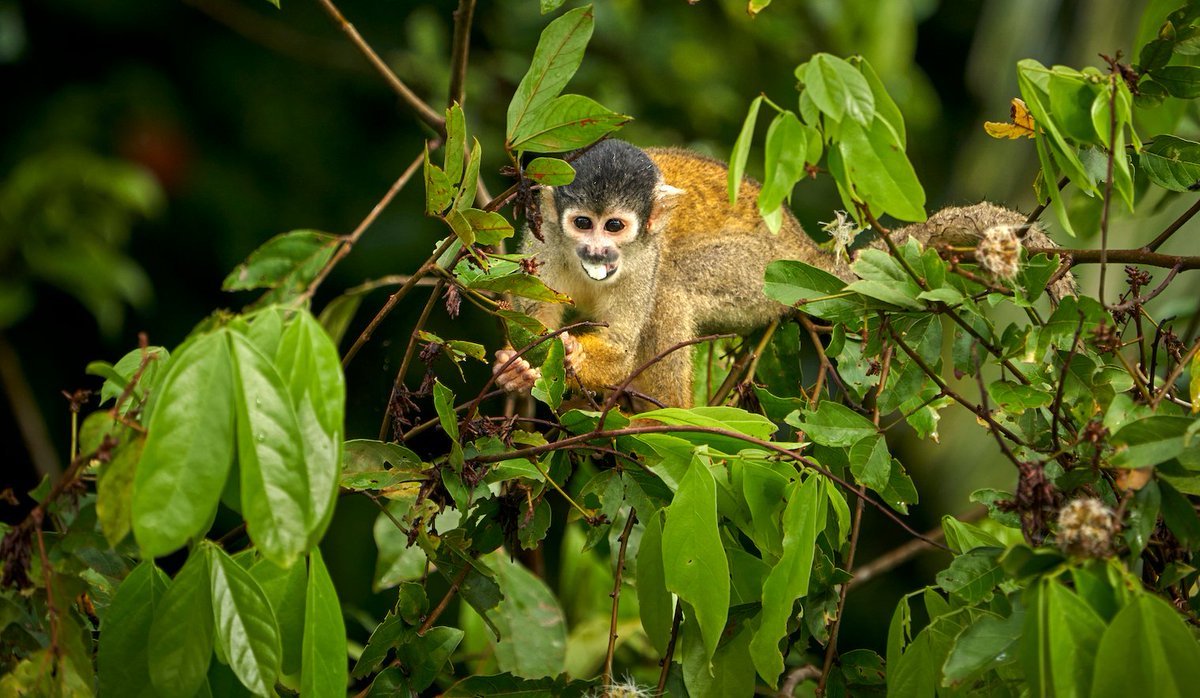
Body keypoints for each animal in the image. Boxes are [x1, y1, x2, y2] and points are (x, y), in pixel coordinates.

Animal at [492, 139, 1072, 409]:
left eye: (615, 226)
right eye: (582, 223)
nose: (597, 251)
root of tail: (807, 252)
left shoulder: (642, 259)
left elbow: (621, 347)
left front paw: (575, 356)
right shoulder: (543, 244)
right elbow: (530, 310)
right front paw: (518, 368)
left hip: (764, 278)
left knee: (674, 286)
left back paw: (664, 416)